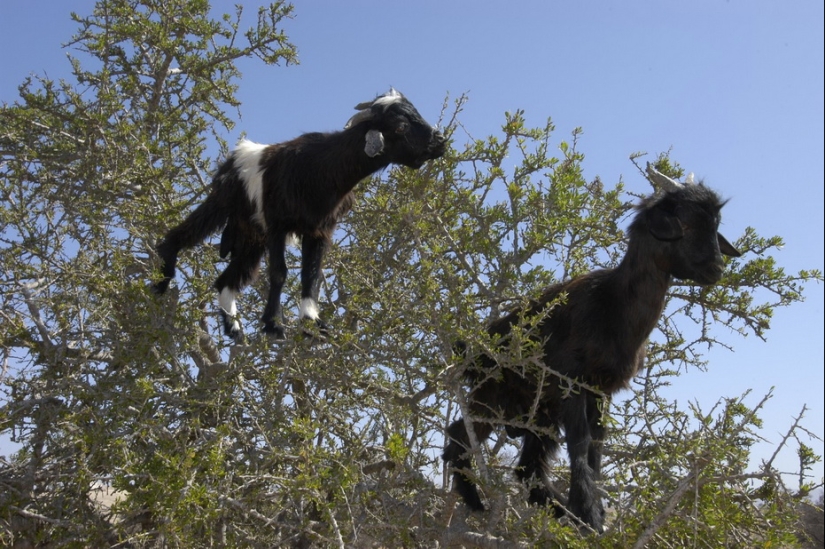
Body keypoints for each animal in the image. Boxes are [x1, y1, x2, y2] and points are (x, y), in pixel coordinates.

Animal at [148, 89, 444, 338]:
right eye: (400, 126)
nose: (439, 142)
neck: (323, 170)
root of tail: (234, 158)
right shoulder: (278, 225)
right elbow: (279, 272)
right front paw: (273, 325)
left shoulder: (320, 230)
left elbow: (311, 275)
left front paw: (312, 324)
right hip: (223, 205)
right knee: (185, 232)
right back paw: (162, 281)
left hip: (252, 237)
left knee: (226, 280)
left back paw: (234, 329)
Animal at [444, 164, 740, 532]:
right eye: (684, 224)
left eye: (715, 227)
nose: (716, 269)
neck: (613, 306)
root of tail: (470, 348)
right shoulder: (570, 381)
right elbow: (581, 442)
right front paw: (587, 511)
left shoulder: (600, 390)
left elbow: (597, 445)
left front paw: (594, 513)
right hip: (494, 396)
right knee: (460, 436)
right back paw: (475, 501)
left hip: (538, 413)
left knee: (527, 469)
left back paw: (556, 509)